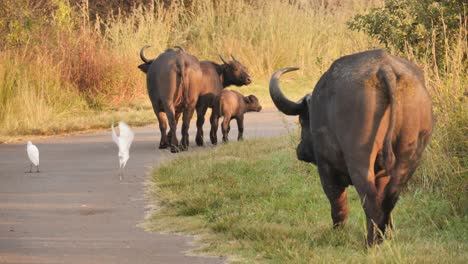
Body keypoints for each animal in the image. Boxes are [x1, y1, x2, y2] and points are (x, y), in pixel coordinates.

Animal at [270, 49, 436, 245]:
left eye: (303, 120)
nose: (300, 150)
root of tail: (385, 69)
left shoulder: (326, 167)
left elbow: (337, 201)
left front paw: (337, 233)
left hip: (359, 158)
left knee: (369, 198)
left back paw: (371, 243)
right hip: (409, 157)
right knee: (388, 199)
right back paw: (382, 238)